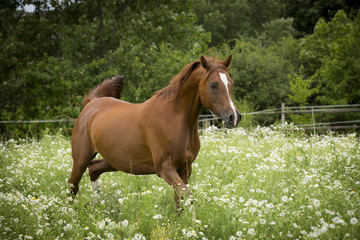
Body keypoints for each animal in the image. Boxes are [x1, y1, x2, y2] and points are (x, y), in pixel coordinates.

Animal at [69, 55, 240, 209]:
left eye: (231, 83)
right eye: (213, 84)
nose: (234, 117)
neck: (173, 118)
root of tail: (93, 103)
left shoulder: (185, 169)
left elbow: (179, 202)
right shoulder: (165, 168)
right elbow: (188, 196)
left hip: (114, 161)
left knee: (93, 169)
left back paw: (94, 208)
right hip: (81, 159)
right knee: (73, 187)